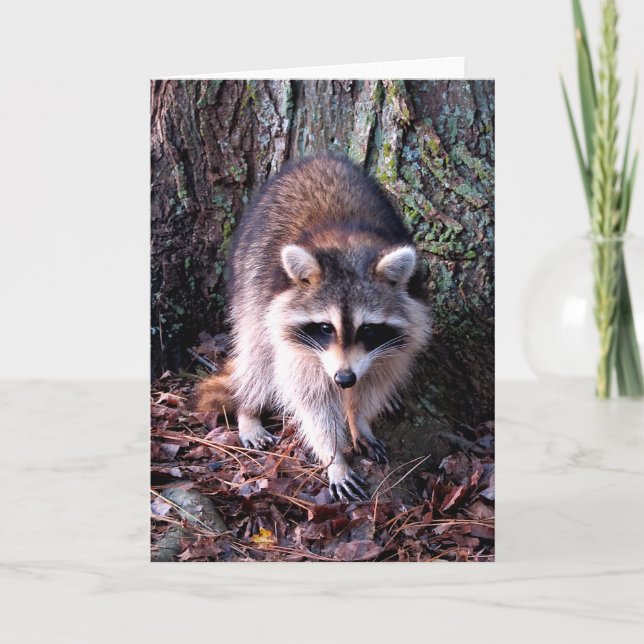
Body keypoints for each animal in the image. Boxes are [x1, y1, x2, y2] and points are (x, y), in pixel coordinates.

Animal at [195, 155, 431, 501]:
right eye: (324, 327)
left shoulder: (397, 336)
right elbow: (312, 399)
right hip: (249, 276)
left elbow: (377, 379)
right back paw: (248, 409)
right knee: (257, 353)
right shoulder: (299, 345)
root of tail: (318, 158)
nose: (344, 379)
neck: (348, 247)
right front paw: (335, 457)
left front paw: (359, 419)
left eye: (368, 329)